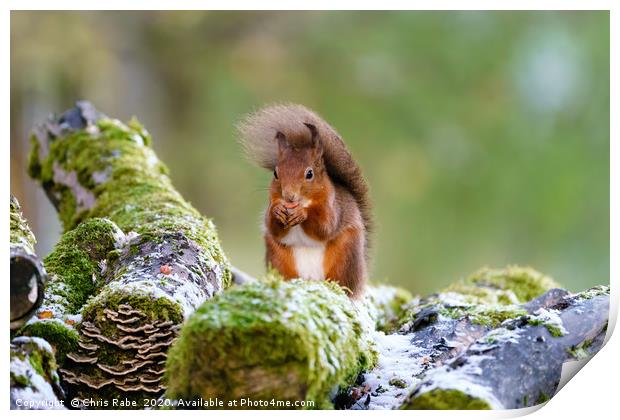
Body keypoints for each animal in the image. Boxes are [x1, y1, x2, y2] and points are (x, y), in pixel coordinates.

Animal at [239, 103, 372, 296]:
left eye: (309, 174)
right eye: (275, 173)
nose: (289, 196)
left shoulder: (333, 208)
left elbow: (324, 227)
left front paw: (302, 214)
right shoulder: (272, 203)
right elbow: (273, 227)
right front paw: (278, 211)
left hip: (346, 255)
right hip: (278, 258)